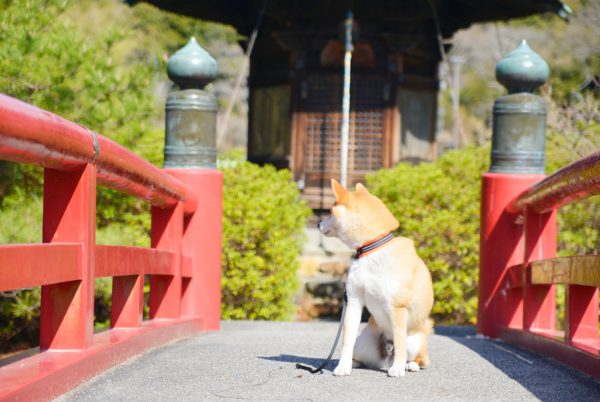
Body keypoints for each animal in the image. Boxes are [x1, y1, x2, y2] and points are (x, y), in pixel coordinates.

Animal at [316, 179, 434, 376]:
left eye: (330, 212)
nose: (317, 224)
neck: (371, 249)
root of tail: (387, 355)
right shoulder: (354, 300)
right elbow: (346, 341)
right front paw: (343, 366)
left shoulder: (397, 307)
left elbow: (400, 345)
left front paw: (398, 369)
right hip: (364, 343)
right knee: (360, 353)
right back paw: (354, 363)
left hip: (415, 340)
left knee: (419, 358)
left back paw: (409, 365)